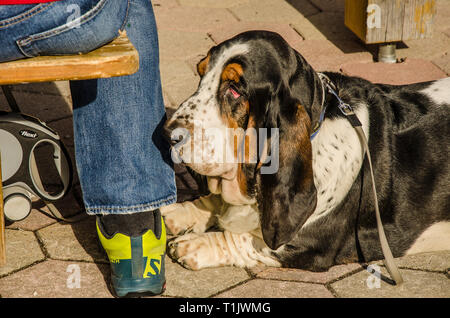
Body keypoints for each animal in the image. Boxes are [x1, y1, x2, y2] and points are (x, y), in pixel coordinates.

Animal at [163, 30, 450, 270]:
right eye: (201, 74)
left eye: (234, 90)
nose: (167, 134)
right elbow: (216, 202)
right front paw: (179, 213)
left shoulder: (305, 246)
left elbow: (241, 239)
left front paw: (194, 244)